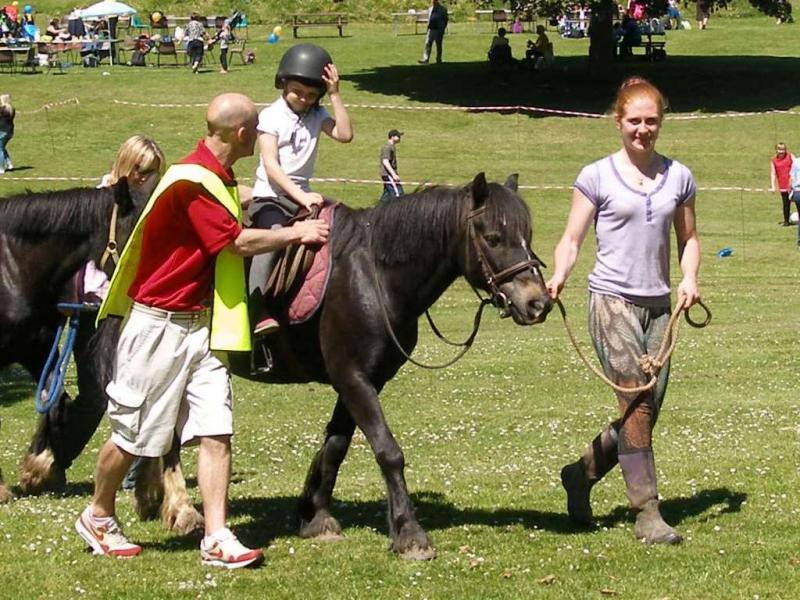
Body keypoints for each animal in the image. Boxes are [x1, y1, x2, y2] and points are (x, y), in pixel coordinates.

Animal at [125, 172, 552, 556]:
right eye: (493, 238)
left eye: (527, 237)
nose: (538, 303)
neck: (375, 275)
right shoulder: (352, 377)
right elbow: (387, 450)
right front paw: (409, 533)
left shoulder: (365, 379)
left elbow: (335, 445)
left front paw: (313, 514)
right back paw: (181, 510)